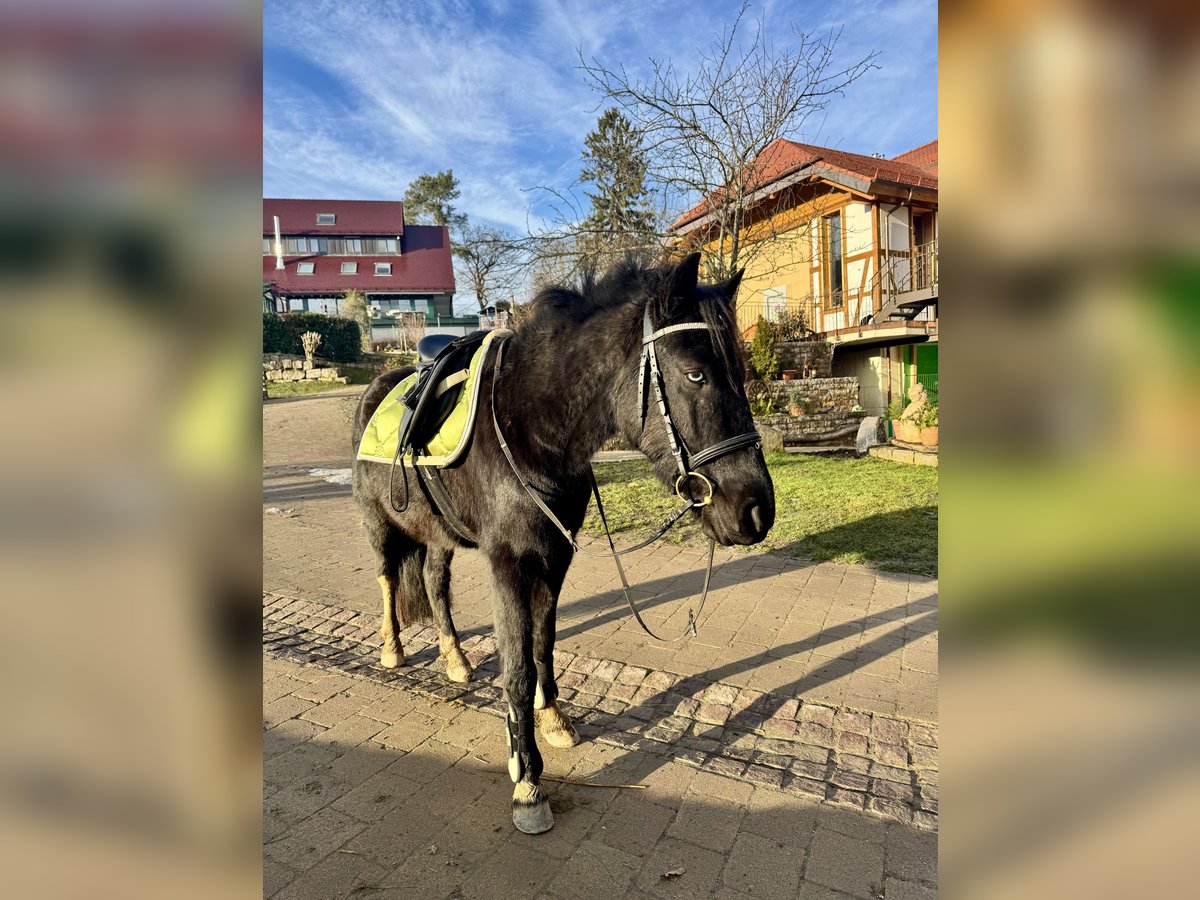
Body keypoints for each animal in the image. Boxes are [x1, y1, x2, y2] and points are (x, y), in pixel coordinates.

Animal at [350, 252, 775, 834]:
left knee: (435, 586)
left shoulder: (555, 558)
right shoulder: (508, 563)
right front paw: (527, 780)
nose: (757, 511)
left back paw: (455, 659)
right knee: (390, 580)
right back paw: (392, 648)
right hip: (380, 527)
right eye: (696, 374)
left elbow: (543, 644)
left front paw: (553, 719)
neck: (531, 430)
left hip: (439, 536)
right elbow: (517, 666)